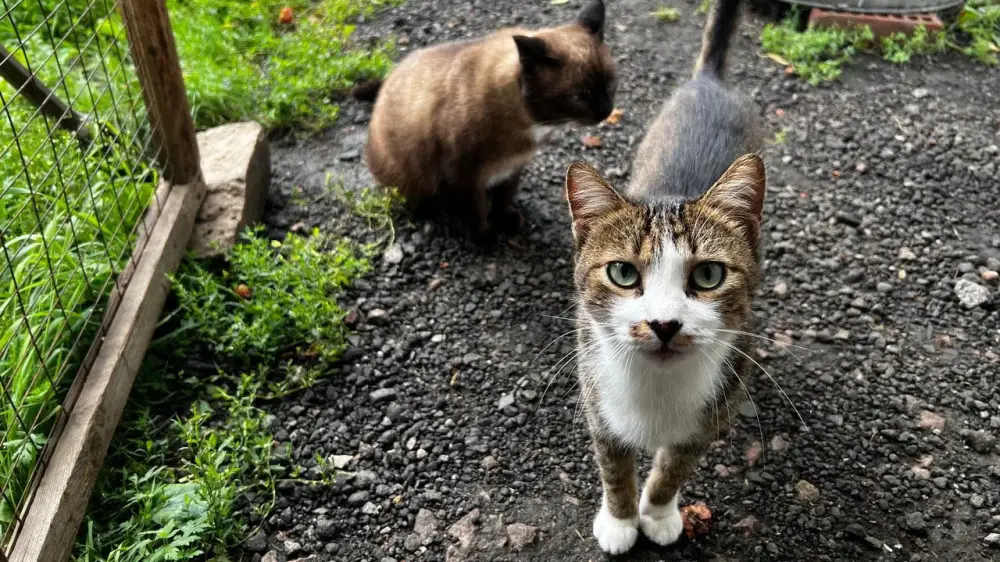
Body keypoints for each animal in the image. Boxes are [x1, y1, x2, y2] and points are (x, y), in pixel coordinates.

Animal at [356, 2, 612, 243]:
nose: (607, 111)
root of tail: (390, 75)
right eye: (581, 96)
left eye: (610, 84)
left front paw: (505, 220)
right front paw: (484, 237)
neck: (528, 123)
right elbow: (475, 210)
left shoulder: (512, 167)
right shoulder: (464, 176)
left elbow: (503, 198)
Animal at [564, 0, 764, 552]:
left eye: (710, 274)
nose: (664, 324)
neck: (657, 386)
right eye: (622, 272)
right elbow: (614, 468)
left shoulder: (709, 415)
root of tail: (709, 80)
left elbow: (674, 467)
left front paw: (657, 512)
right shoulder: (598, 400)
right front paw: (619, 520)